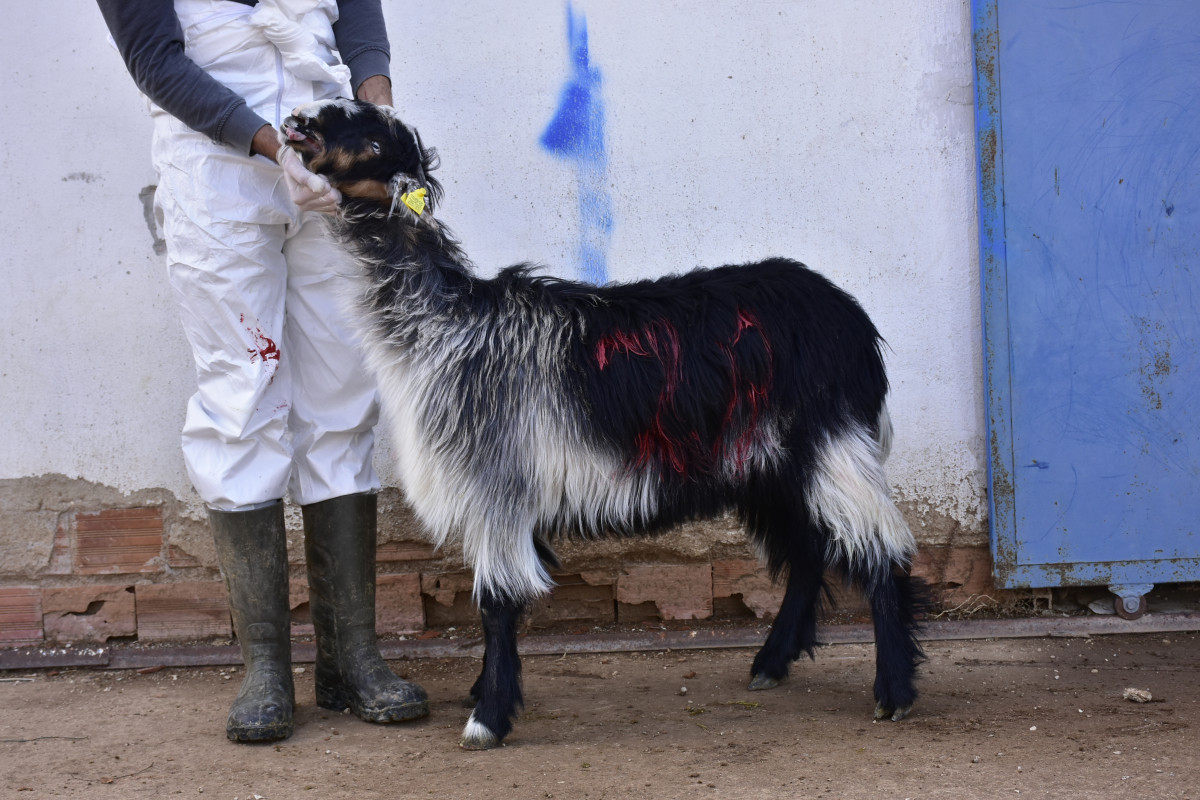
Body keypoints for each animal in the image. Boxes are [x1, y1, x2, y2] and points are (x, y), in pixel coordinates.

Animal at [278, 100, 926, 753]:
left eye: (369, 137)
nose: (296, 121)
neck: (441, 325)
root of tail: (856, 326)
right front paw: (485, 690)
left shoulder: (494, 483)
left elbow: (496, 602)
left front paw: (487, 717)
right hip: (771, 465)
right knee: (811, 550)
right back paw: (771, 663)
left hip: (830, 445)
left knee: (881, 553)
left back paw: (893, 693)